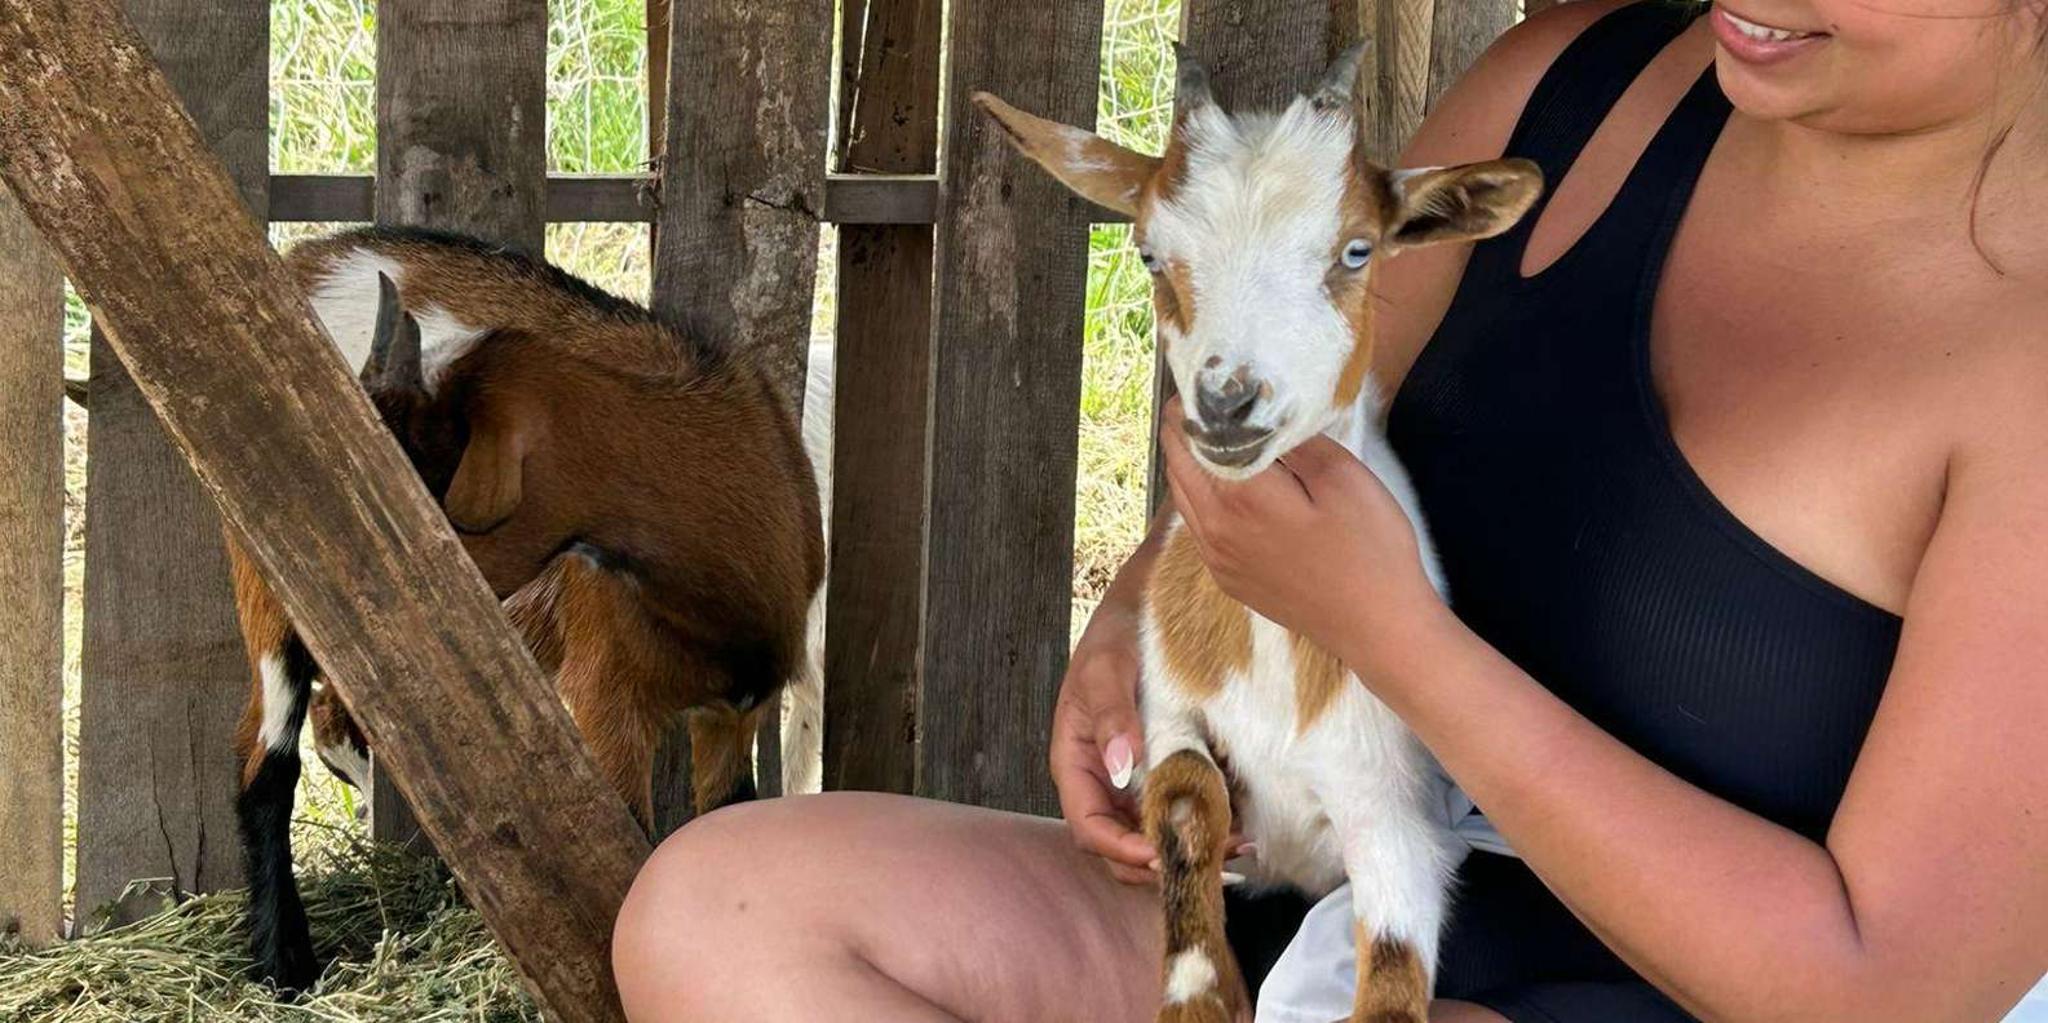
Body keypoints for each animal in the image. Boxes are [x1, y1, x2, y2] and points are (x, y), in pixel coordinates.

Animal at [228, 226, 824, 992]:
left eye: (418, 479)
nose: (322, 570)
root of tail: (310, 259)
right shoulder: (605, 696)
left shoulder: (736, 714)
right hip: (262, 593)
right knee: (265, 762)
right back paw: (286, 964)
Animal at [977, 46, 1541, 1023]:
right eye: (1149, 251)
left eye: (1357, 249)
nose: (1227, 401)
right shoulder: (1165, 707)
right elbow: (1187, 796)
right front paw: (1200, 990)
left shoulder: (1398, 816)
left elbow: (1394, 977)